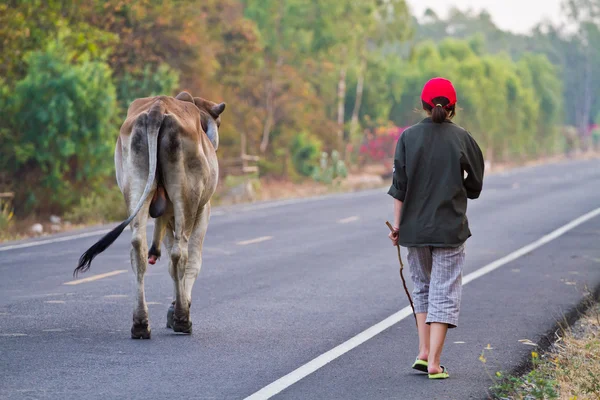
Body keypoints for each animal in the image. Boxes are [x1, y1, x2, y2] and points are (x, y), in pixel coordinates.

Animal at [75, 92, 225, 340]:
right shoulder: (203, 210)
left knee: (139, 247)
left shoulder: (166, 216)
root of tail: (158, 108)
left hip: (135, 185)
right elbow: (193, 261)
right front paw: (178, 307)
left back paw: (140, 323)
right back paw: (182, 319)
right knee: (180, 253)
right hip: (186, 198)